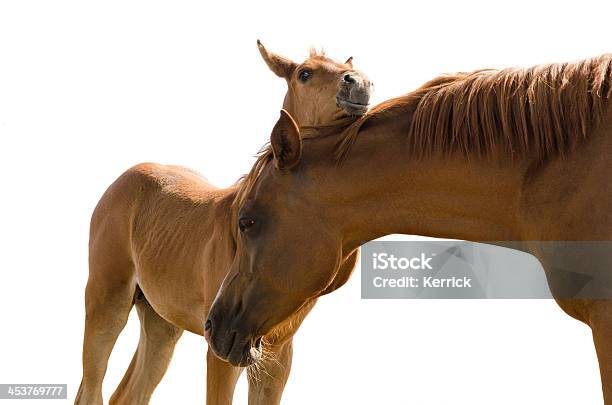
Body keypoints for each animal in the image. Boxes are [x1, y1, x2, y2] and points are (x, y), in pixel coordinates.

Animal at [76, 41, 372, 404]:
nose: (359, 84)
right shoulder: (222, 345)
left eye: (348, 68)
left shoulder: (275, 353)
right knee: (93, 388)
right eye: (305, 73)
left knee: (128, 393)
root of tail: (125, 177)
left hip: (161, 322)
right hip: (107, 301)